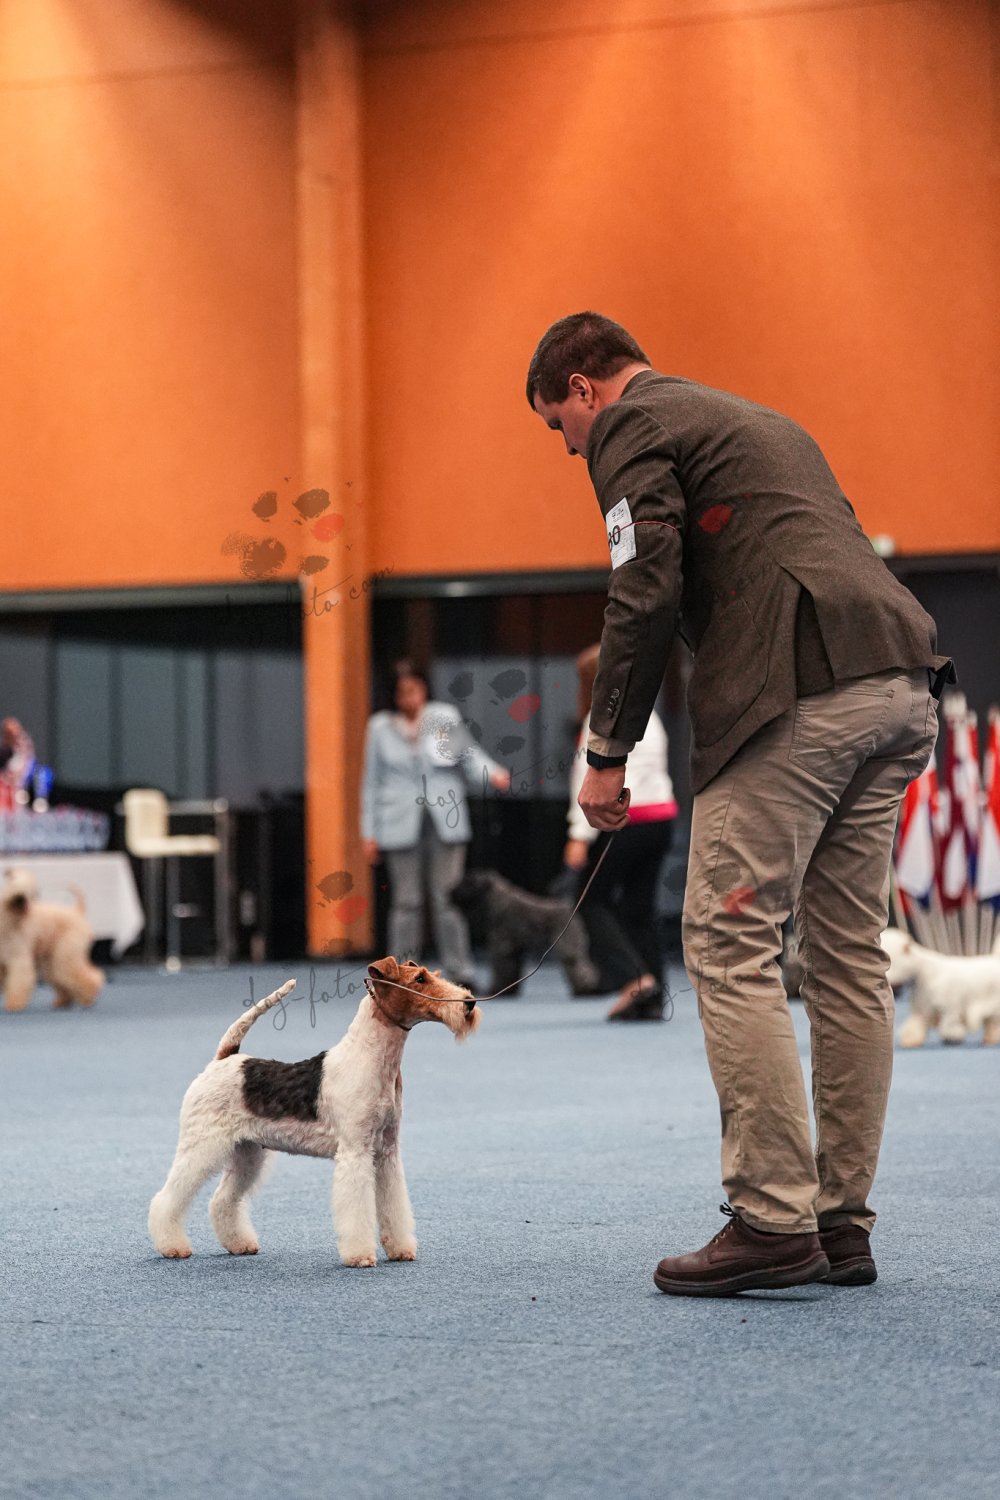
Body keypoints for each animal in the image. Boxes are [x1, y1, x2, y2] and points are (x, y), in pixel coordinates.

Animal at [0, 868, 104, 1012]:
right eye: (13, 881)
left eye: (31, 890)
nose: (20, 898)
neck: (8, 920)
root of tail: (78, 912)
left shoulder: (18, 959)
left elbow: (18, 982)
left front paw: (14, 1004)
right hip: (53, 963)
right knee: (64, 982)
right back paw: (63, 1002)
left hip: (66, 958)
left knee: (90, 976)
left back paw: (87, 999)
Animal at [148, 958, 480, 1266]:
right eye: (420, 979)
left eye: (432, 975)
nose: (469, 1003)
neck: (372, 1059)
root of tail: (224, 1059)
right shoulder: (355, 1151)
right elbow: (357, 1210)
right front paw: (360, 1255)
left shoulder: (387, 1151)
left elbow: (393, 1206)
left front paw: (400, 1249)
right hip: (203, 1144)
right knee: (167, 1198)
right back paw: (172, 1246)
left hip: (248, 1152)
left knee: (223, 1200)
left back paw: (240, 1244)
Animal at [452, 868, 601, 996]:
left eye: (469, 882)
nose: (451, 891)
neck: (497, 901)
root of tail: (571, 908)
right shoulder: (514, 949)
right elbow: (513, 970)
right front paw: (510, 990)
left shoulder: (502, 947)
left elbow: (502, 969)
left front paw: (497, 989)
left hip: (568, 947)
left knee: (580, 967)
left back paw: (586, 990)